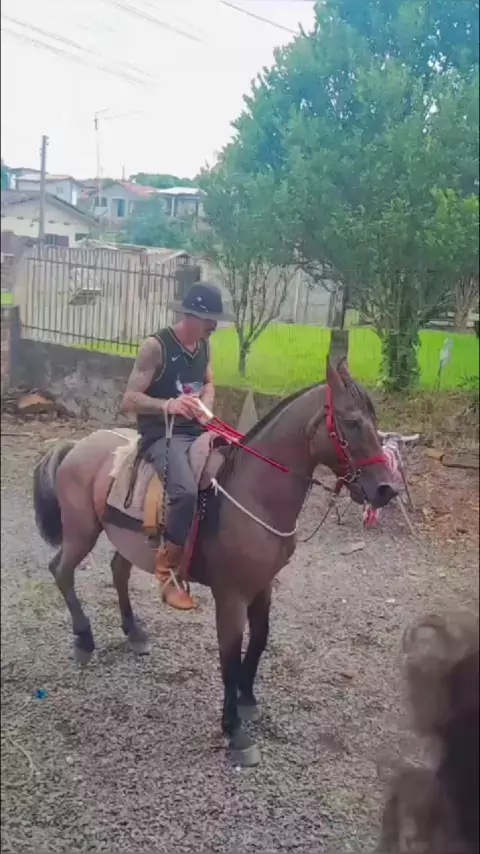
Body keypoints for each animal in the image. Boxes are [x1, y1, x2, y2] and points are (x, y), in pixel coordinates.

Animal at [33, 358, 398, 766]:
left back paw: (134, 633)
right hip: (81, 531)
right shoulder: (231, 596)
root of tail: (77, 446)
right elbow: (229, 658)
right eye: (352, 421)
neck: (254, 493)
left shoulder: (263, 585)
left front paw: (248, 700)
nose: (387, 489)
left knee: (117, 572)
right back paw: (84, 640)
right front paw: (234, 731)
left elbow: (259, 640)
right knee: (61, 571)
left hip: (125, 538)